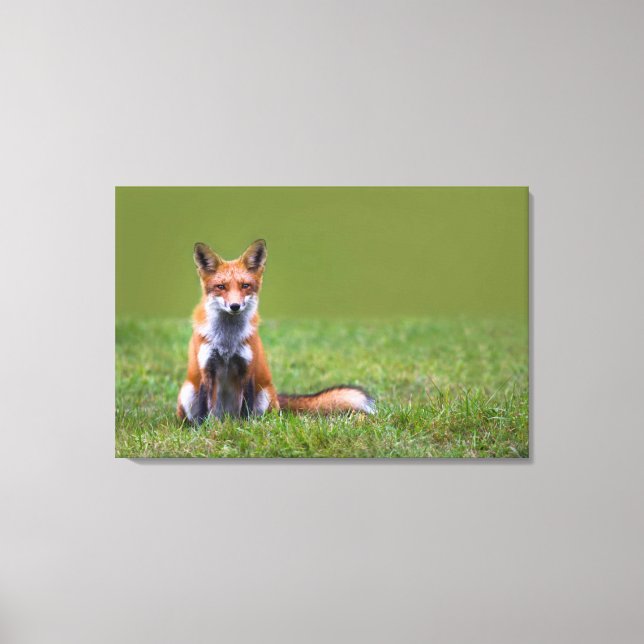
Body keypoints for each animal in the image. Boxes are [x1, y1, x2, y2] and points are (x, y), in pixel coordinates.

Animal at [177, 239, 375, 422]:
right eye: (221, 287)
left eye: (245, 286)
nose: (235, 306)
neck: (227, 341)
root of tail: (227, 418)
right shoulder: (206, 369)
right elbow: (203, 409)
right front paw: (202, 429)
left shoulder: (248, 369)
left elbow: (246, 408)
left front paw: (245, 427)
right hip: (188, 392)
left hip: (265, 395)